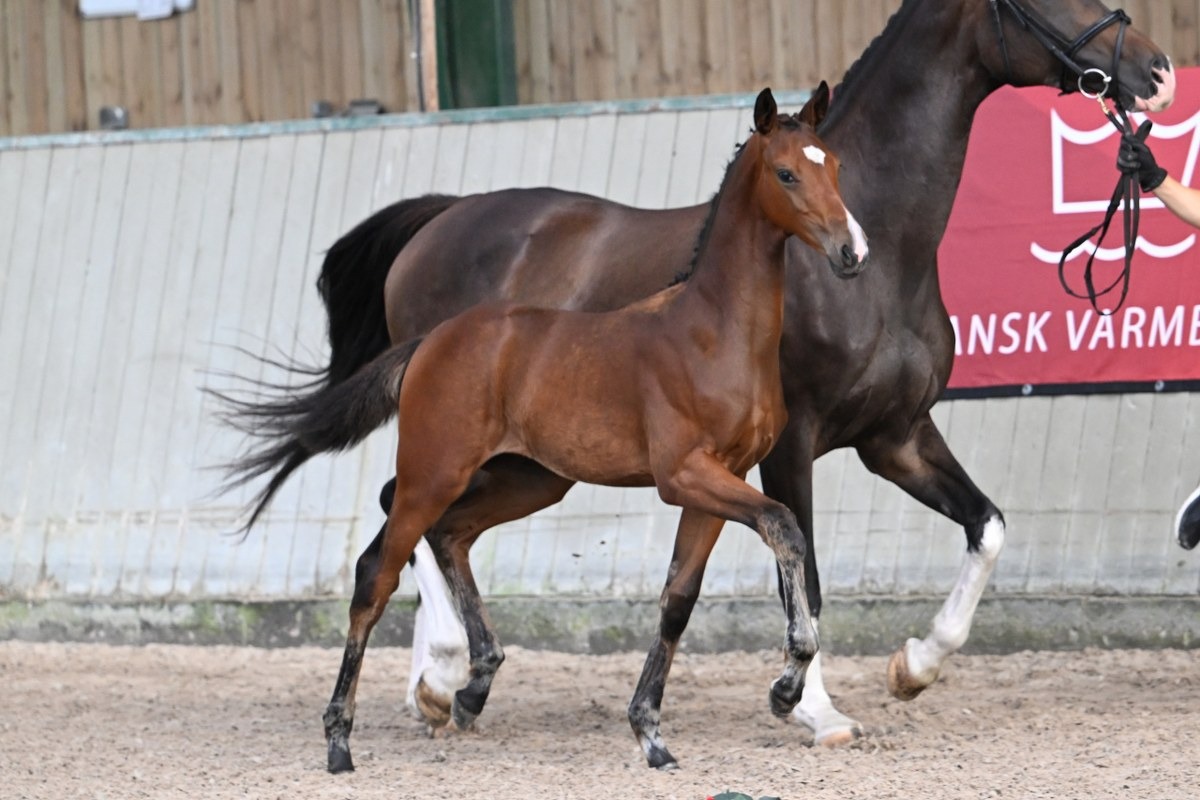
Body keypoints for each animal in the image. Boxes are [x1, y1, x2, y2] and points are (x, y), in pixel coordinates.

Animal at [316, 89, 864, 777]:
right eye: (787, 173)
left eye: (835, 166)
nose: (852, 252)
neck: (713, 332)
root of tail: (432, 340)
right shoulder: (684, 475)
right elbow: (785, 527)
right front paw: (786, 687)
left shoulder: (719, 481)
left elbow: (677, 600)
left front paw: (651, 733)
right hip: (432, 474)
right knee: (375, 576)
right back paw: (341, 741)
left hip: (528, 481)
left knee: (451, 535)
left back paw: (472, 688)